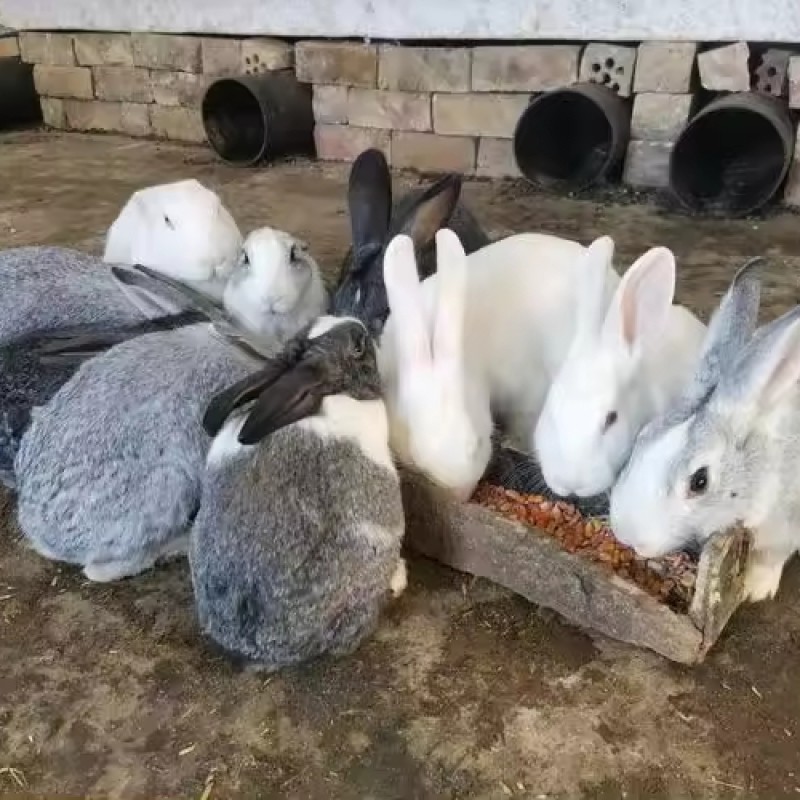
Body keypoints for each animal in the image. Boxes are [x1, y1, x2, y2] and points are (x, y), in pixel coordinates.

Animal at [609, 257, 800, 602]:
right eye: (642, 436)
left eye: (700, 481)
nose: (627, 535)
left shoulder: (786, 525)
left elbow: (770, 558)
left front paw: (755, 590)